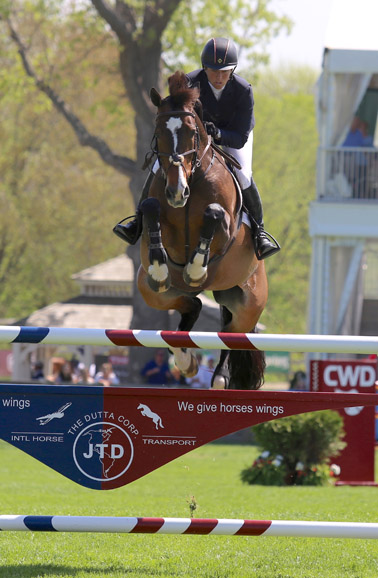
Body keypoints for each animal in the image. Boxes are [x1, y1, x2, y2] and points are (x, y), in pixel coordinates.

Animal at [137, 71, 268, 388]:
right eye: (158, 132)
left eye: (192, 133)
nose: (176, 192)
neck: (193, 179)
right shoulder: (160, 217)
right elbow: (151, 208)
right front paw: (159, 269)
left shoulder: (226, 229)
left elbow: (213, 214)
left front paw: (196, 271)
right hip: (152, 293)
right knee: (193, 306)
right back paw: (186, 362)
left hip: (249, 306)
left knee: (230, 333)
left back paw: (220, 377)